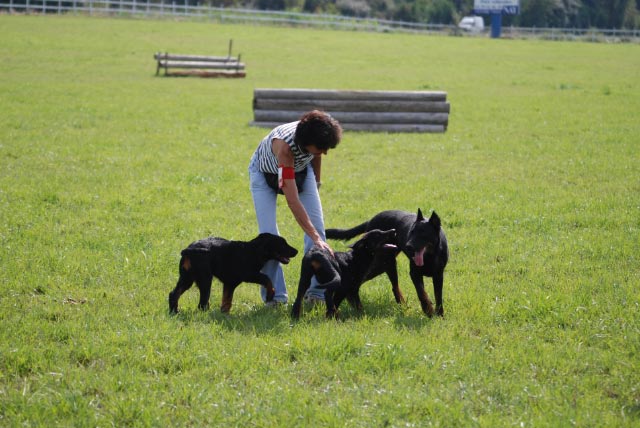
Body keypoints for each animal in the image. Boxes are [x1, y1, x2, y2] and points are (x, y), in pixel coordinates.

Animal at [170, 234, 300, 314]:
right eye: (282, 244)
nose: (297, 251)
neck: (253, 251)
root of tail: (188, 250)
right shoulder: (248, 275)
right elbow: (267, 278)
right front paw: (270, 294)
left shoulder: (229, 283)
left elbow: (227, 301)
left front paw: (224, 315)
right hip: (205, 279)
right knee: (202, 303)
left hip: (187, 278)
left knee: (173, 294)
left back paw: (174, 311)